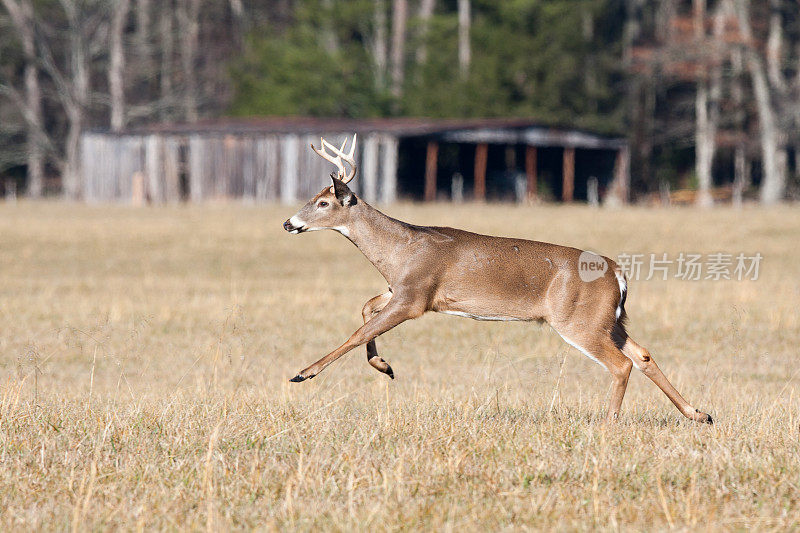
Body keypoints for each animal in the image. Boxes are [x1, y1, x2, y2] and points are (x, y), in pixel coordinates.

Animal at [282, 134, 712, 424]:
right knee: (643, 354)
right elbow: (365, 309)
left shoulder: (415, 296)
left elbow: (358, 332)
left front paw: (304, 372)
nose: (289, 223)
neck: (399, 250)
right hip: (610, 319)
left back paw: (609, 424)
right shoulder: (401, 290)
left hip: (578, 320)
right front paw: (384, 365)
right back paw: (698, 413)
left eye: (323, 202)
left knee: (621, 364)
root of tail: (618, 273)